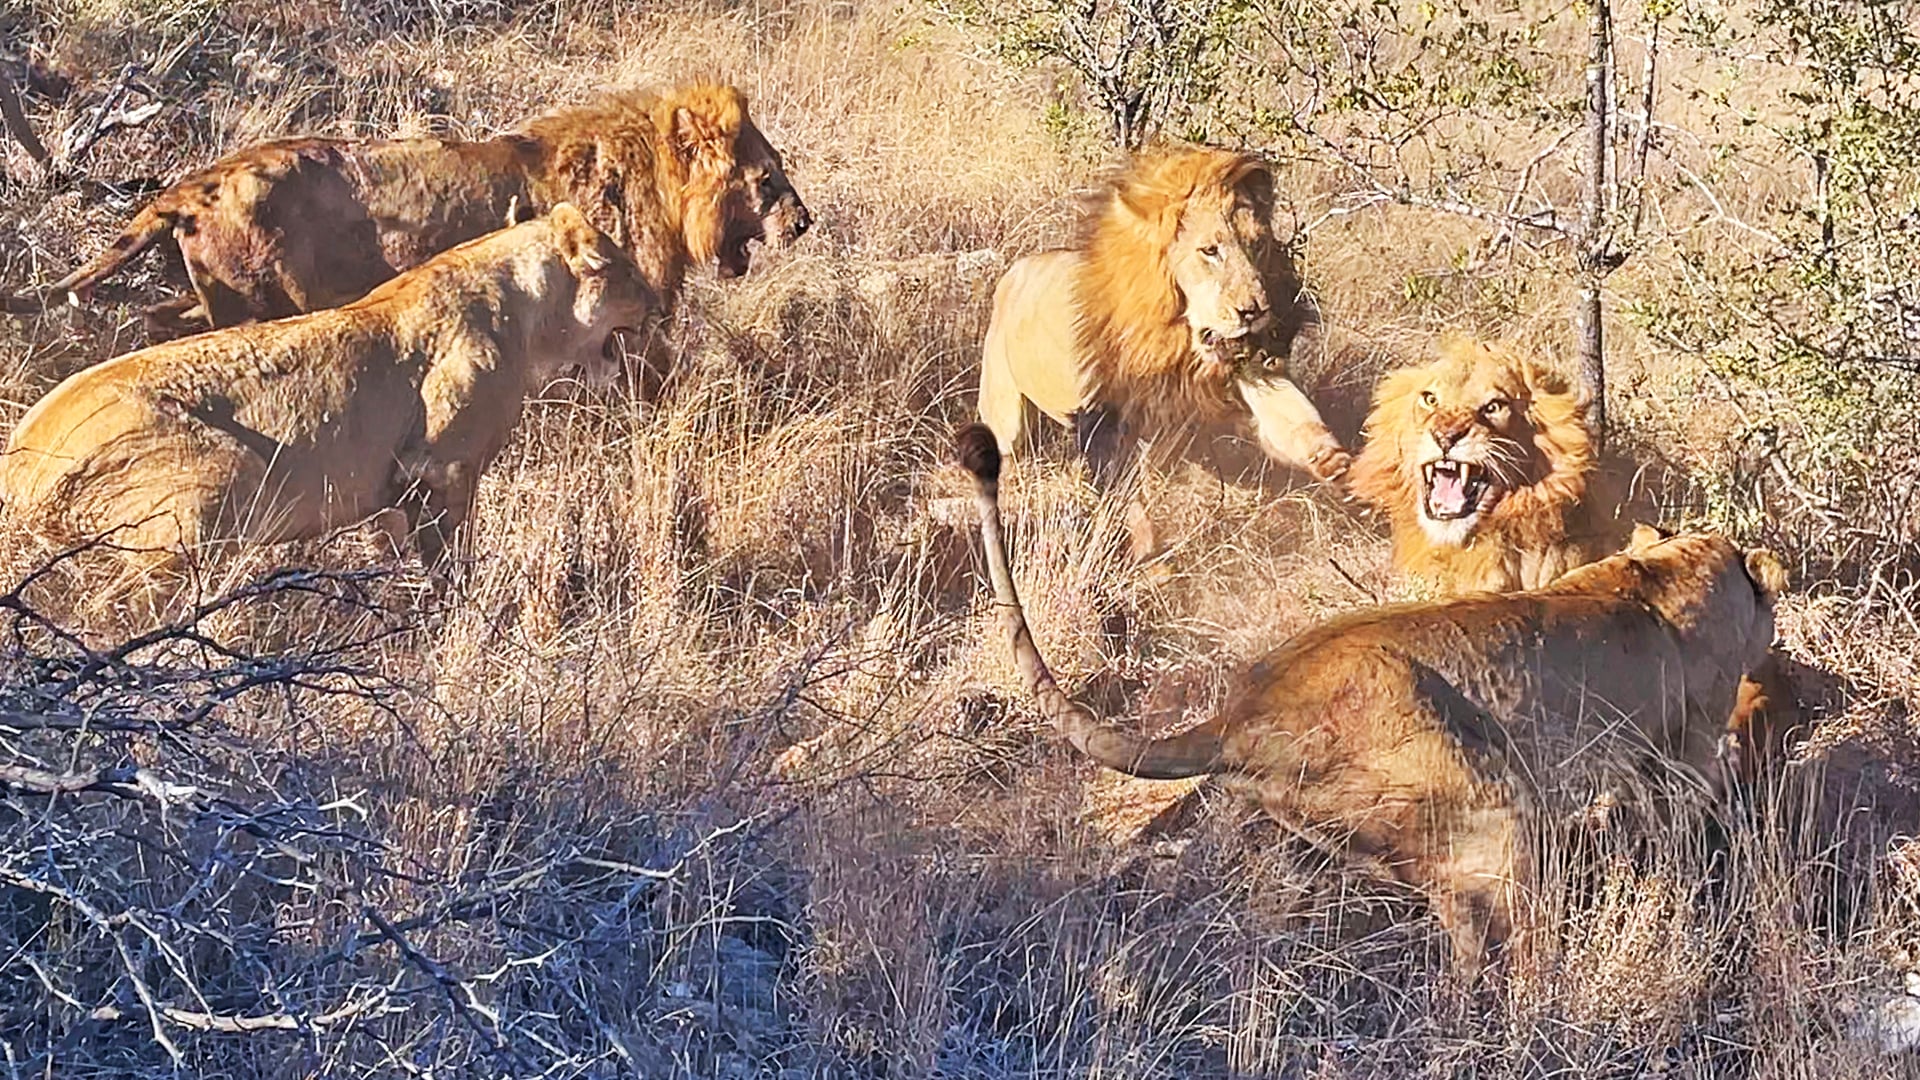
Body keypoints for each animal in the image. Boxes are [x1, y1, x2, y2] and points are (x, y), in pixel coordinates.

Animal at [2, 203, 656, 581]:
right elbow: (453, 564)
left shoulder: (396, 488)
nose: (658, 304)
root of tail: (16, 470)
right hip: (225, 476)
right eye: (626, 270)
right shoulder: (441, 466)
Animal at [49, 82, 808, 334]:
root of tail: (185, 188)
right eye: (767, 180)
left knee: (153, 318)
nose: (805, 223)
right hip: (256, 306)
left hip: (222, 297)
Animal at [956, 422, 1787, 974]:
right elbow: (1683, 833)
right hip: (1495, 812)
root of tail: (1244, 711)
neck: (1667, 571)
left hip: (1335, 839)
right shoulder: (1683, 752)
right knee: (1491, 961)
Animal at [977, 146, 1349, 483]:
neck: (1179, 342)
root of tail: (1015, 269)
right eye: (1209, 250)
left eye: (1257, 244)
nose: (1255, 311)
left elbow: (1294, 416)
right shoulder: (1105, 417)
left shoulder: (1245, 370)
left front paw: (1333, 460)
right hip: (1004, 413)